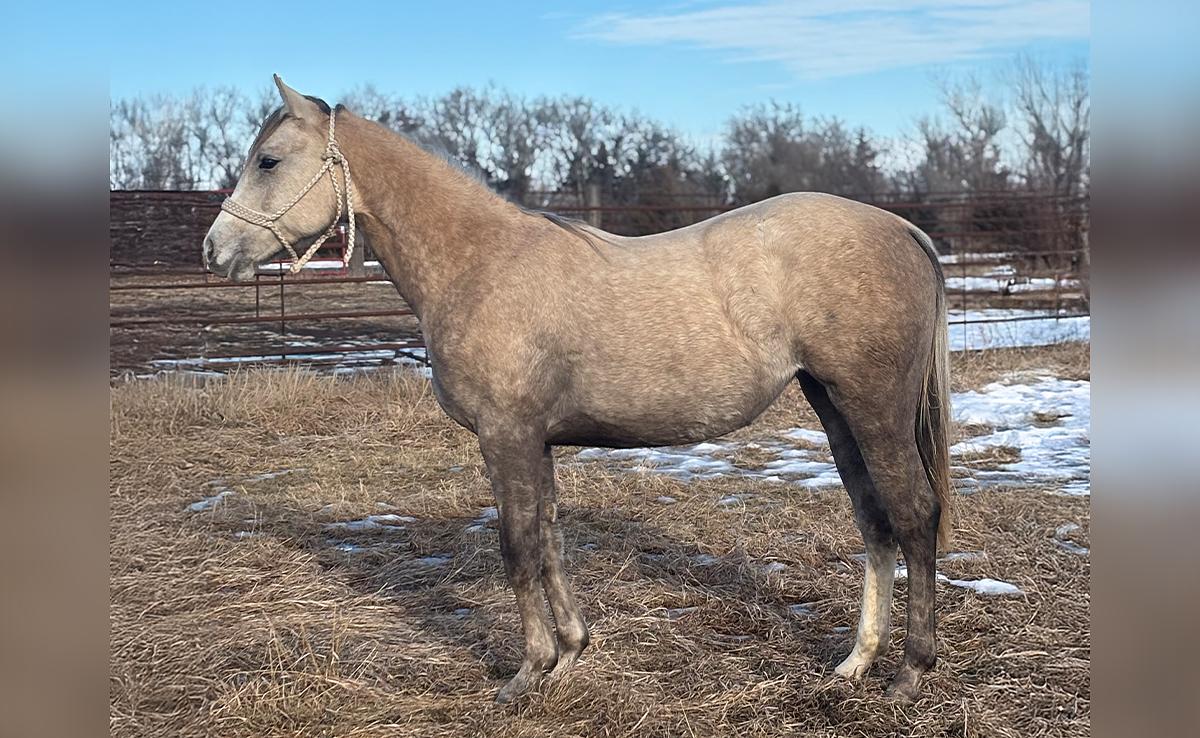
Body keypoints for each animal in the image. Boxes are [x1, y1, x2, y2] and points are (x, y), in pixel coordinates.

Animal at [203, 76, 952, 704]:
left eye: (268, 160)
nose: (214, 250)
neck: (479, 263)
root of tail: (901, 228)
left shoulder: (505, 436)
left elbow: (517, 549)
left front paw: (526, 673)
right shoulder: (534, 441)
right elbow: (549, 538)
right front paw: (569, 652)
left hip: (874, 410)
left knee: (915, 515)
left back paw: (911, 674)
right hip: (834, 408)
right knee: (875, 520)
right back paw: (855, 663)